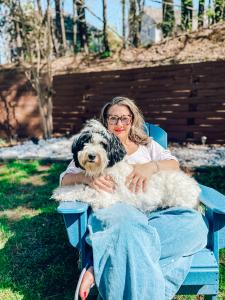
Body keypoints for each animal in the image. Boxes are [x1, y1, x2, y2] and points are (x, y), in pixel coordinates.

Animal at [53, 118, 200, 212]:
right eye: (86, 142)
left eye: (103, 144)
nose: (91, 155)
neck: (105, 169)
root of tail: (195, 188)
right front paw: (62, 191)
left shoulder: (106, 197)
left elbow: (86, 191)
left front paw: (64, 194)